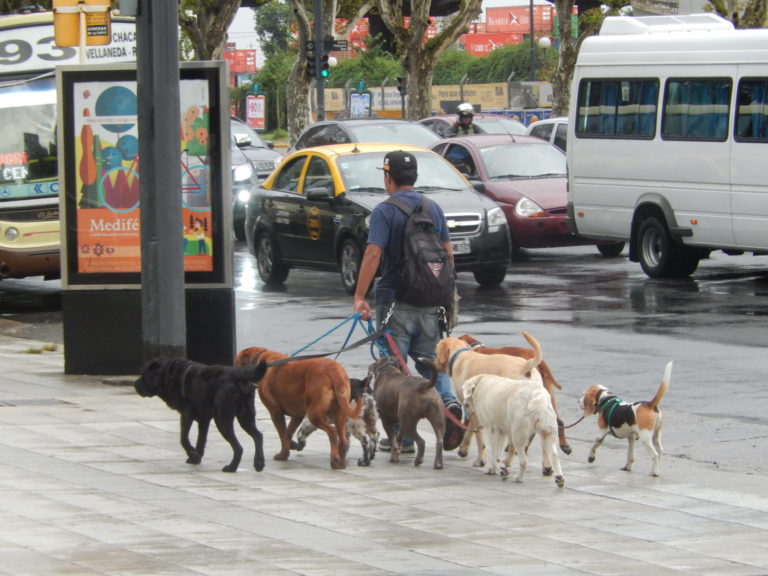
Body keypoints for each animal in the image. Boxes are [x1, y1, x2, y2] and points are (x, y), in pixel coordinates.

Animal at [132, 356, 264, 472]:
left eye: (144, 375)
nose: (135, 384)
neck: (169, 374)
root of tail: (237, 375)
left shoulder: (186, 414)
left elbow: (184, 439)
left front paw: (192, 453)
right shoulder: (204, 419)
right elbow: (201, 440)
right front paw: (196, 457)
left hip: (222, 419)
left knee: (239, 447)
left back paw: (231, 468)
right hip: (246, 417)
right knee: (258, 436)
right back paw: (259, 463)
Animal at [234, 348, 364, 470]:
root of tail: (334, 370)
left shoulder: (275, 412)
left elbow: (282, 434)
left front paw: (283, 455)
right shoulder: (298, 415)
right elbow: (288, 432)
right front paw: (292, 445)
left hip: (314, 414)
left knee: (332, 432)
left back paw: (334, 459)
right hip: (340, 413)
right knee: (343, 439)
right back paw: (341, 463)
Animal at [436, 332, 544, 468]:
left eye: (435, 350)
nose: (433, 363)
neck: (460, 355)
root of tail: (525, 367)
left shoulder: (472, 409)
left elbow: (478, 436)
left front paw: (479, 459)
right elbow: (471, 431)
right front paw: (464, 450)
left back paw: (507, 461)